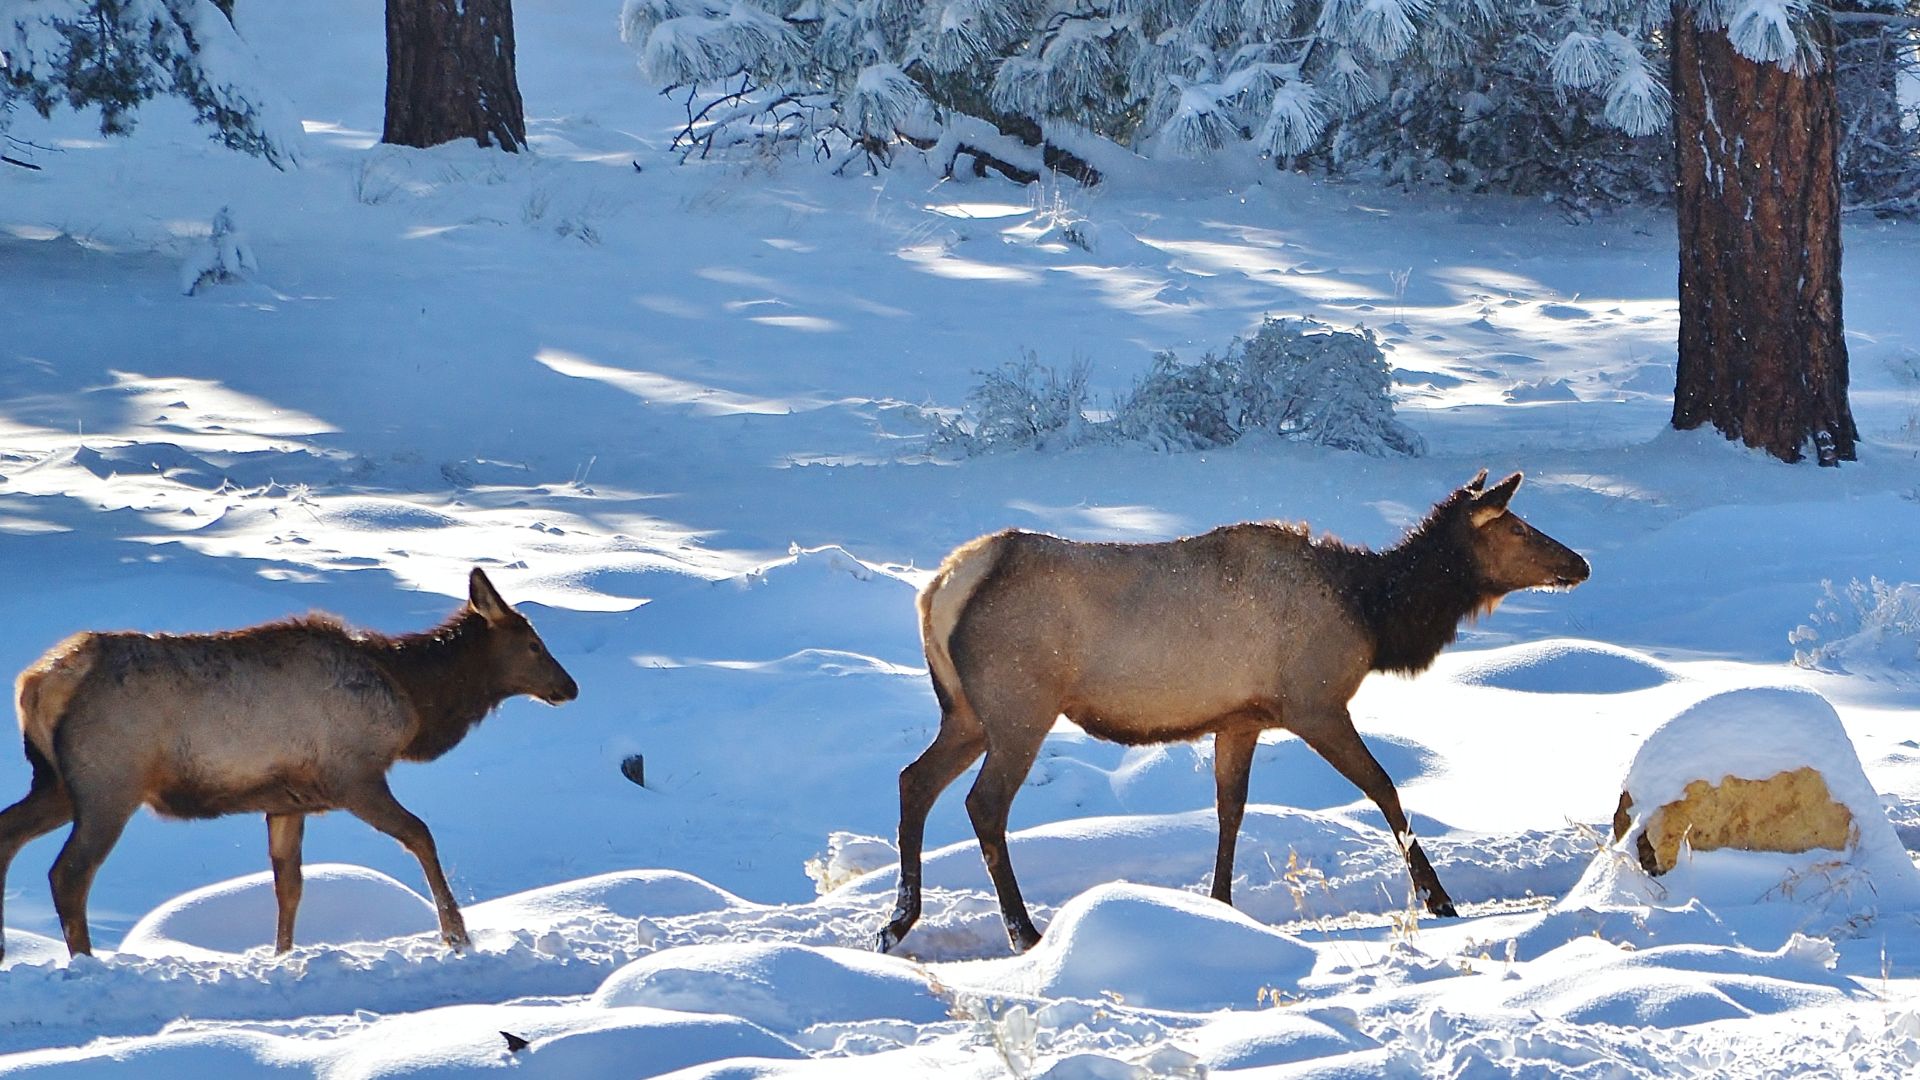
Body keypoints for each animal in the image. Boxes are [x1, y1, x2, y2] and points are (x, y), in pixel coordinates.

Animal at [0, 568, 577, 961]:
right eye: (533, 644)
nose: (569, 687)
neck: (413, 701)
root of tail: (37, 682)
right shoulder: (354, 776)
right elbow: (420, 835)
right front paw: (457, 936)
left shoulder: (287, 799)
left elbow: (289, 884)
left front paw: (282, 956)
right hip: (108, 783)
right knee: (68, 873)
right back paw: (86, 962)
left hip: (57, 783)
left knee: (9, 833)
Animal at [876, 471, 1590, 954]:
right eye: (1518, 526)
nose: (1579, 562)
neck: (1373, 615)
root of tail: (939, 589)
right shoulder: (1314, 702)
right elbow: (1384, 787)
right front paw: (1438, 896)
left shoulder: (1239, 718)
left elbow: (1230, 810)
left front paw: (1219, 905)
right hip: (1021, 707)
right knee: (983, 803)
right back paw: (1022, 930)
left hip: (968, 712)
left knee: (914, 779)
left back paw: (897, 922)